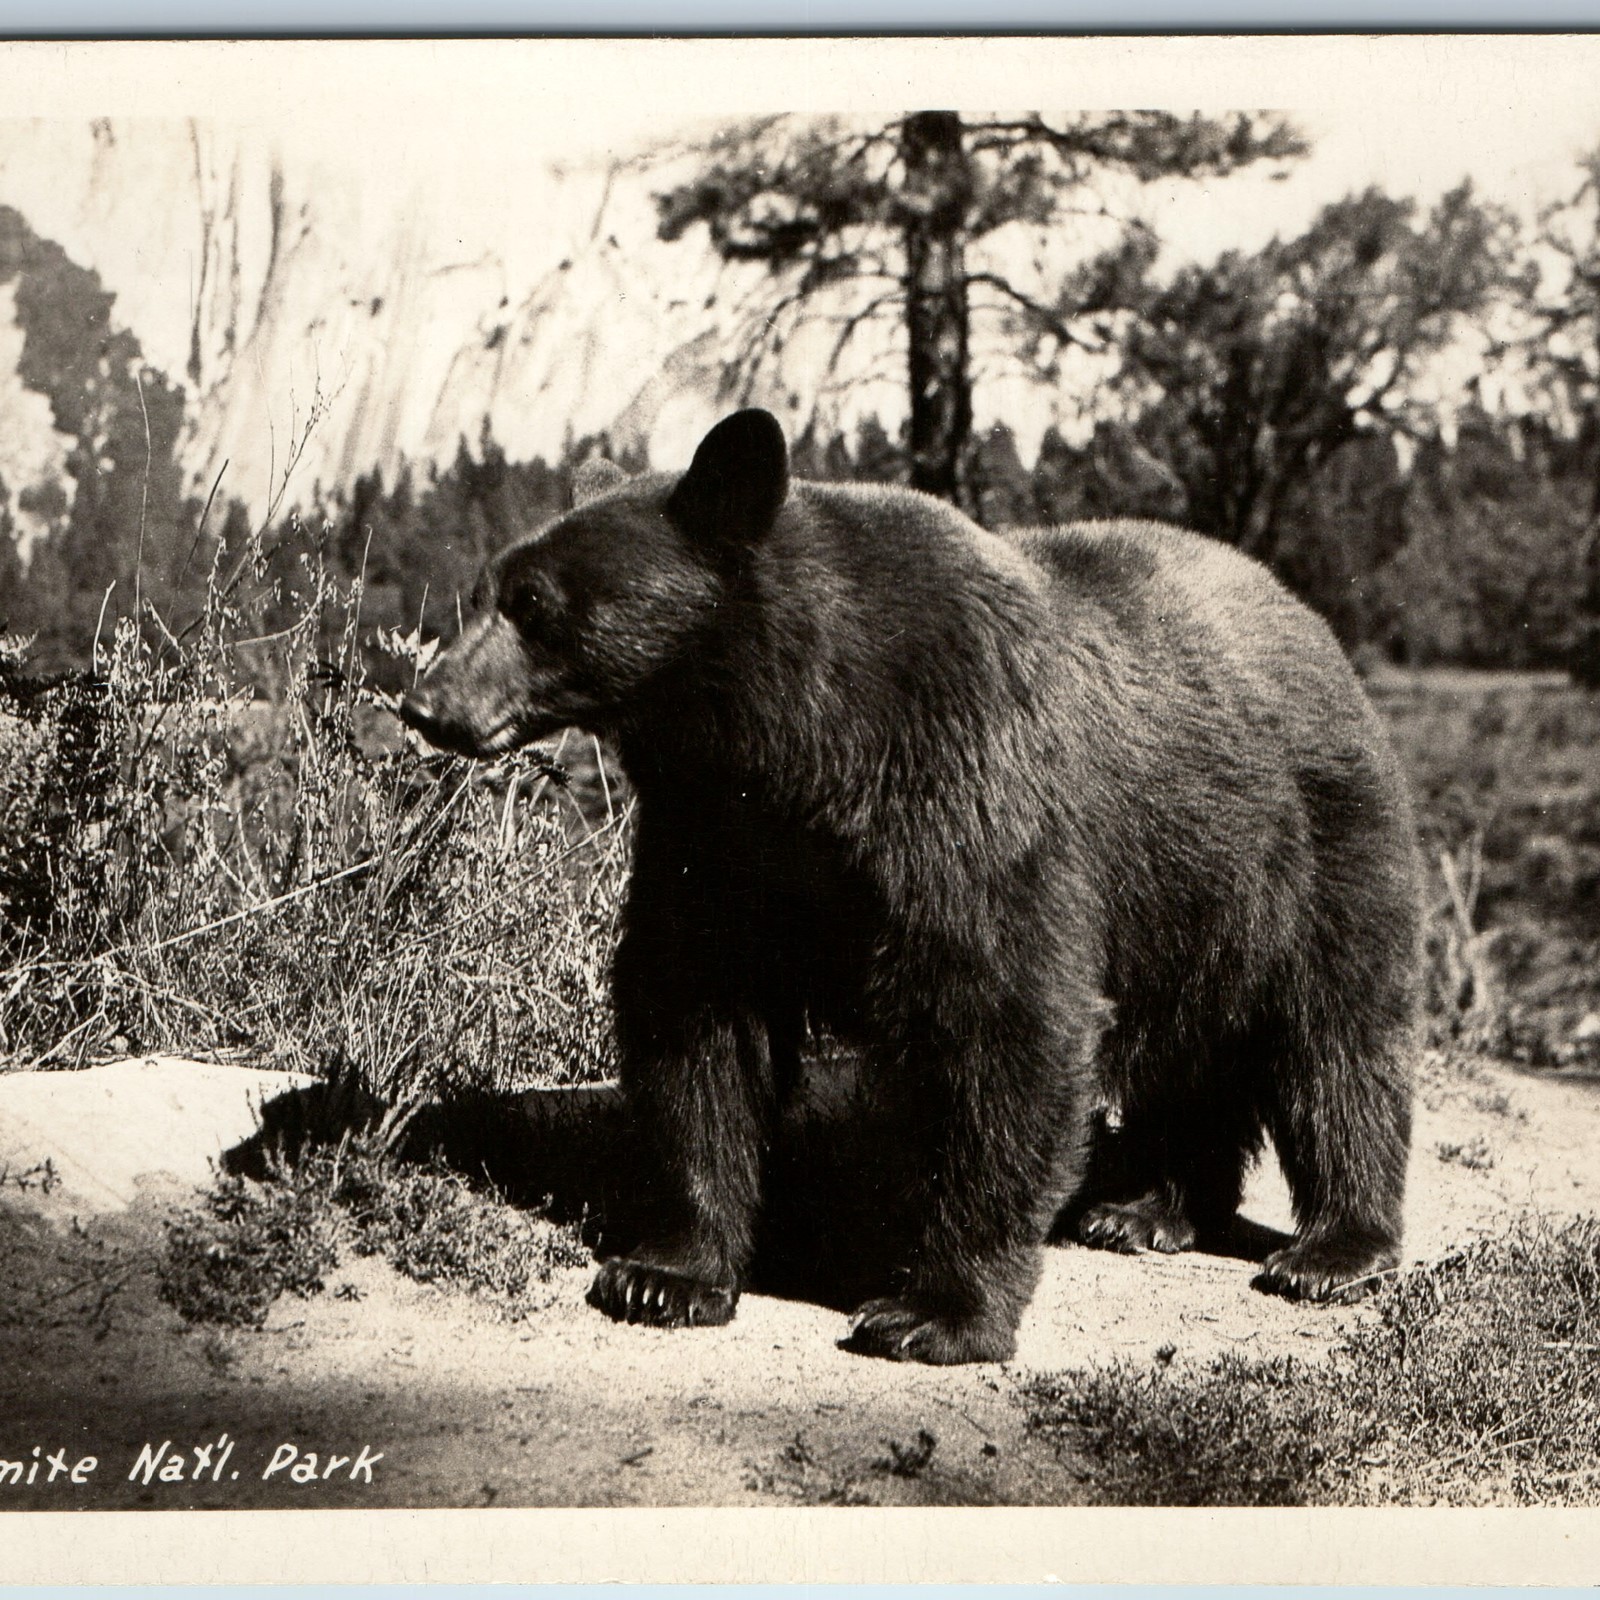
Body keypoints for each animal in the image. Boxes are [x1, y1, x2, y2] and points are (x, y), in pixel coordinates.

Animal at [400, 408, 1422, 1365]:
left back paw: (1331, 1249)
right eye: (482, 590)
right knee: (1195, 1046)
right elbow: (694, 1020)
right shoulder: (718, 833)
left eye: (534, 603)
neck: (795, 735)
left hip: (1313, 842)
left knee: (1339, 1038)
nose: (425, 702)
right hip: (1192, 894)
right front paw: (665, 1273)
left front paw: (934, 1310)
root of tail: (1313, 623)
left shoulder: (963, 786)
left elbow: (1000, 1016)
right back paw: (1147, 1206)